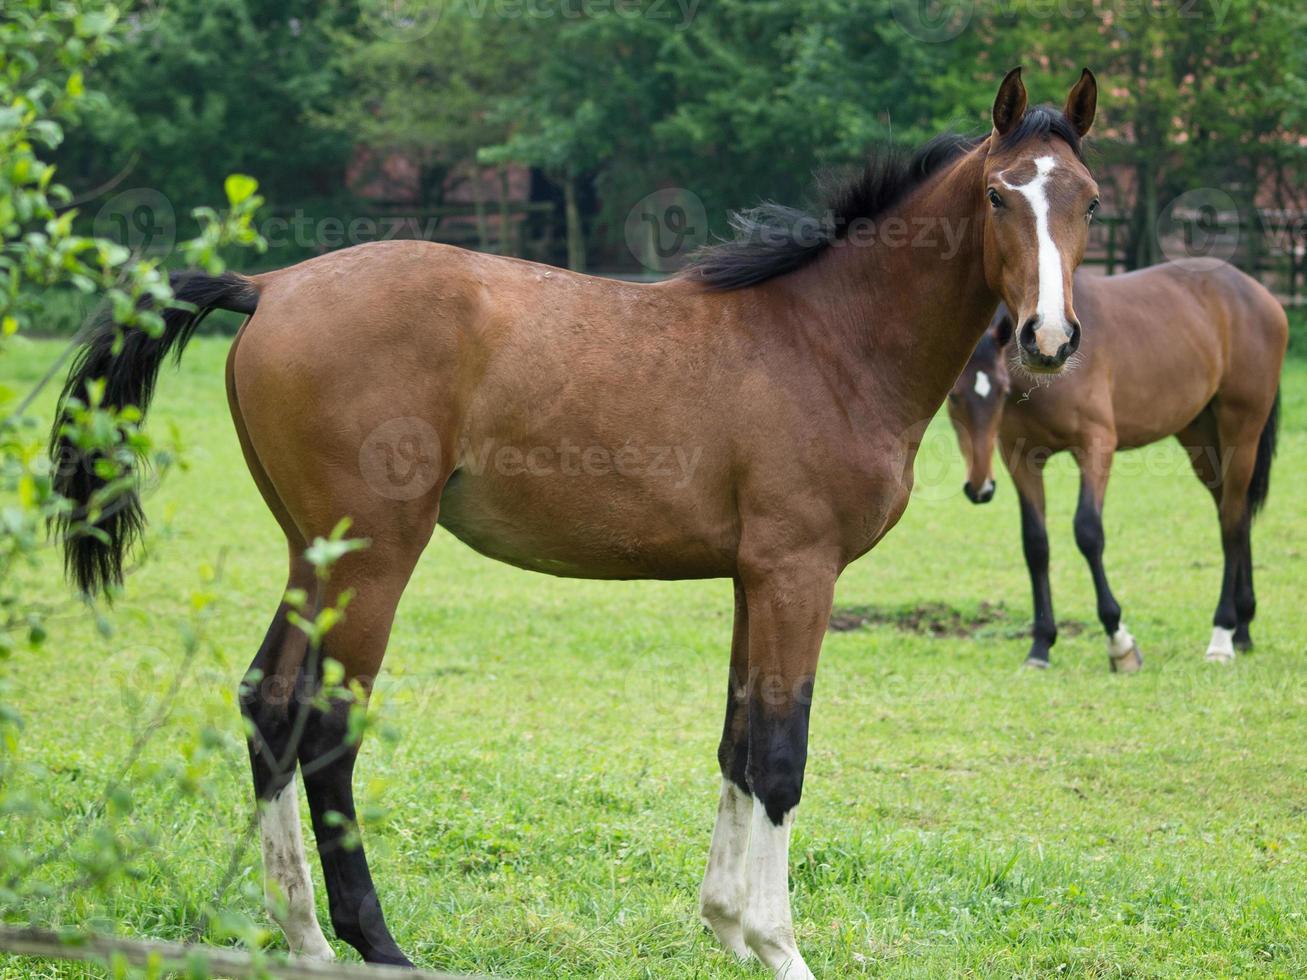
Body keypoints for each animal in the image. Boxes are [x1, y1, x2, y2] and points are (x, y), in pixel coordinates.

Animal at [48, 67, 1103, 977]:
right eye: (1000, 196)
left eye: (1087, 201)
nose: (1049, 340)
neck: (826, 340)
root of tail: (270, 286)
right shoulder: (800, 575)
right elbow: (778, 757)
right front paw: (778, 946)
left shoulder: (751, 579)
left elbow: (735, 742)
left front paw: (726, 927)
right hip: (374, 561)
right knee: (326, 729)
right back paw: (374, 942)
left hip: (313, 556)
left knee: (267, 705)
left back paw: (303, 938)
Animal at [946, 261, 1280, 674]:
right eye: (954, 397)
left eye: (1001, 390)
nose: (980, 487)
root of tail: (1258, 293)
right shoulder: (1019, 458)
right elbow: (1035, 544)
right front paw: (1041, 644)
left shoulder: (1096, 447)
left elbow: (1088, 532)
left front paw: (1119, 641)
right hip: (1202, 440)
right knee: (1234, 514)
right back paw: (1243, 628)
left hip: (1241, 433)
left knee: (1233, 522)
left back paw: (1222, 635)